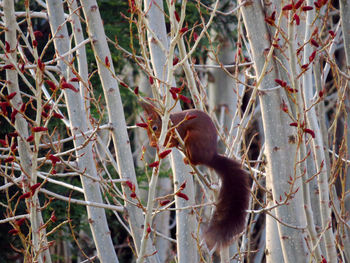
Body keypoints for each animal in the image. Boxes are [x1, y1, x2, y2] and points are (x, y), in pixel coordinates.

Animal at [141, 101, 250, 250]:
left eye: (155, 128)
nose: (152, 143)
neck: (169, 123)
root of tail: (210, 157)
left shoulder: (178, 129)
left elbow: (174, 139)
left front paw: (167, 144)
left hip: (193, 139)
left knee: (194, 157)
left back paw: (188, 159)